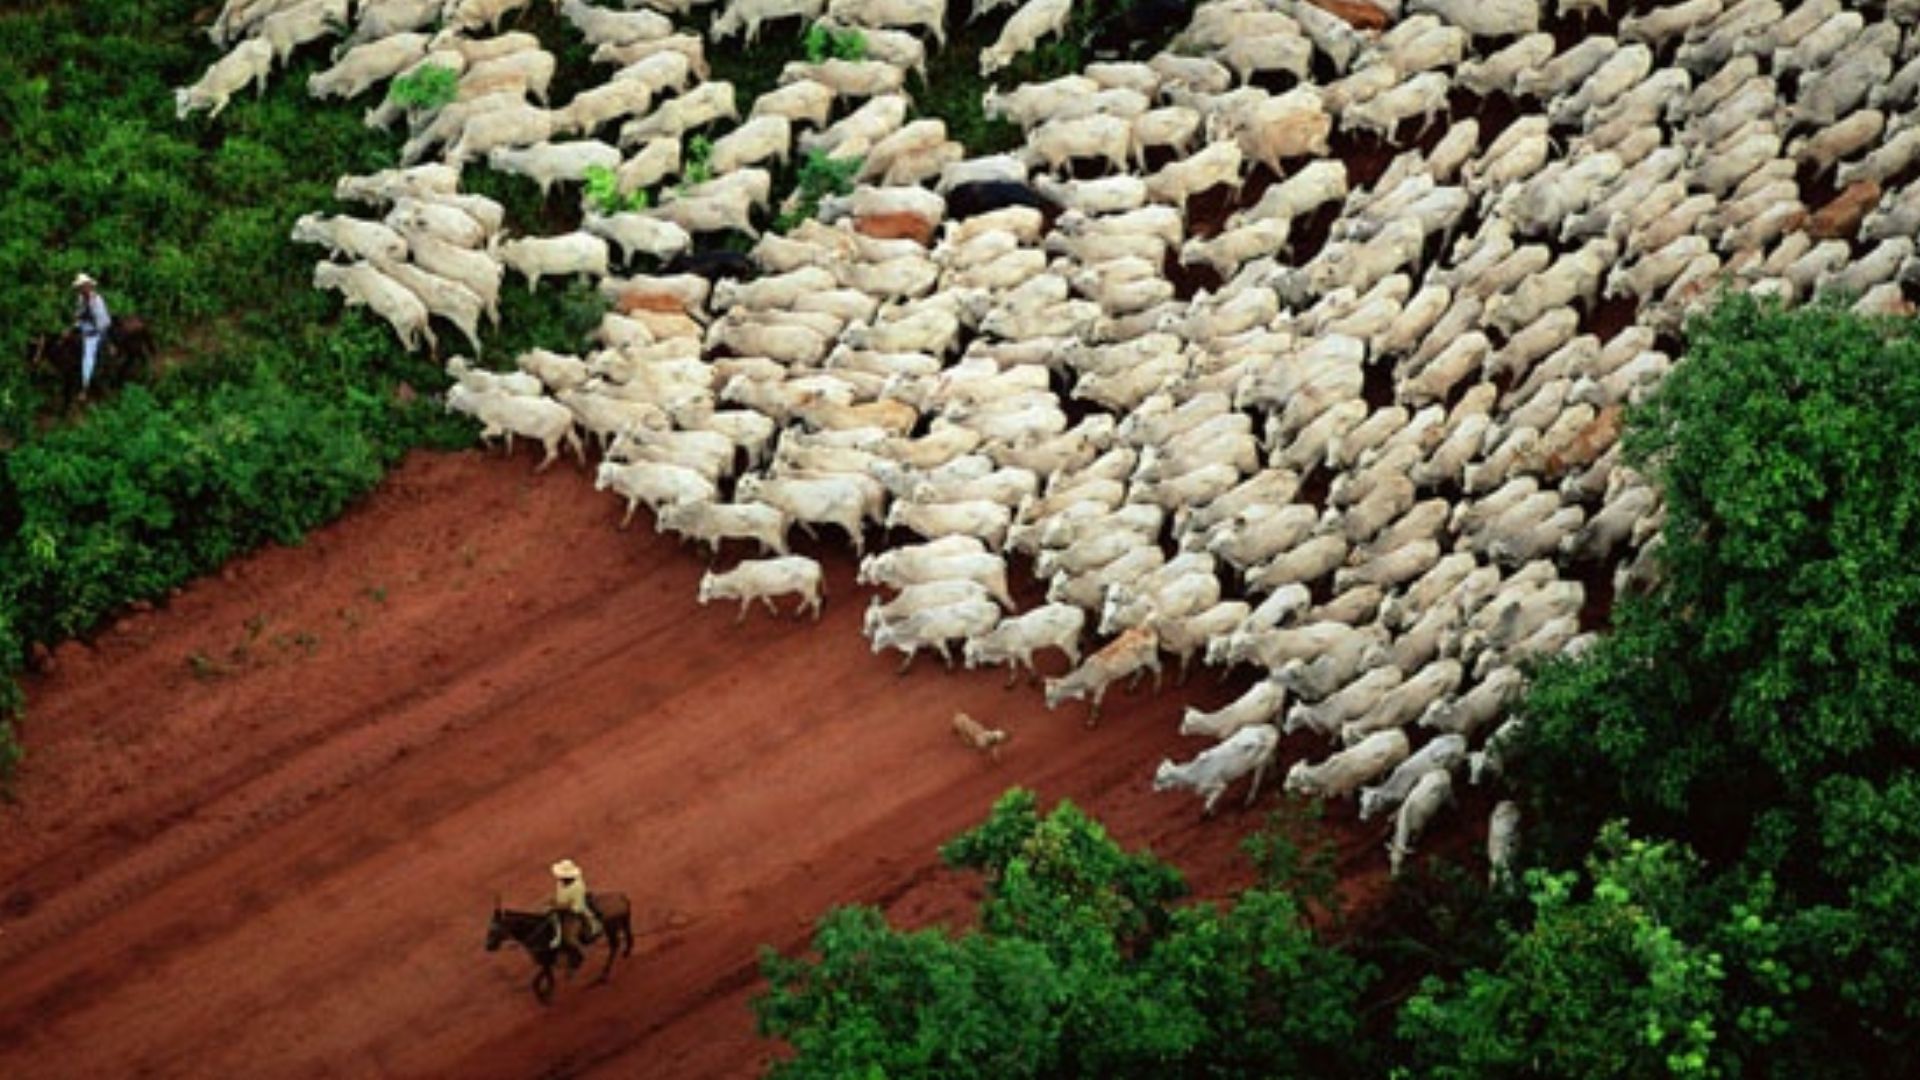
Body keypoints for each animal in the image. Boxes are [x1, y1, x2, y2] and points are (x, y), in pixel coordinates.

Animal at [26, 317, 155, 409]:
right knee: (135, 360)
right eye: (29, 349)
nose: (32, 363)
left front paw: (64, 412)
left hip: (133, 348)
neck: (62, 348)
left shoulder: (69, 375)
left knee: (141, 359)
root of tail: (141, 322)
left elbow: (67, 394)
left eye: (36, 347)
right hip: (132, 350)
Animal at [483, 891, 633, 999]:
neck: (539, 931)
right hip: (619, 925)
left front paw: (546, 996)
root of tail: (621, 897)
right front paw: (545, 993)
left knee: (614, 947)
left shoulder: (547, 961)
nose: (488, 946)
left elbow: (541, 981)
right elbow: (539, 981)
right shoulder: (546, 962)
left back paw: (603, 976)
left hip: (611, 928)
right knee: (623, 940)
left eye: (493, 929)